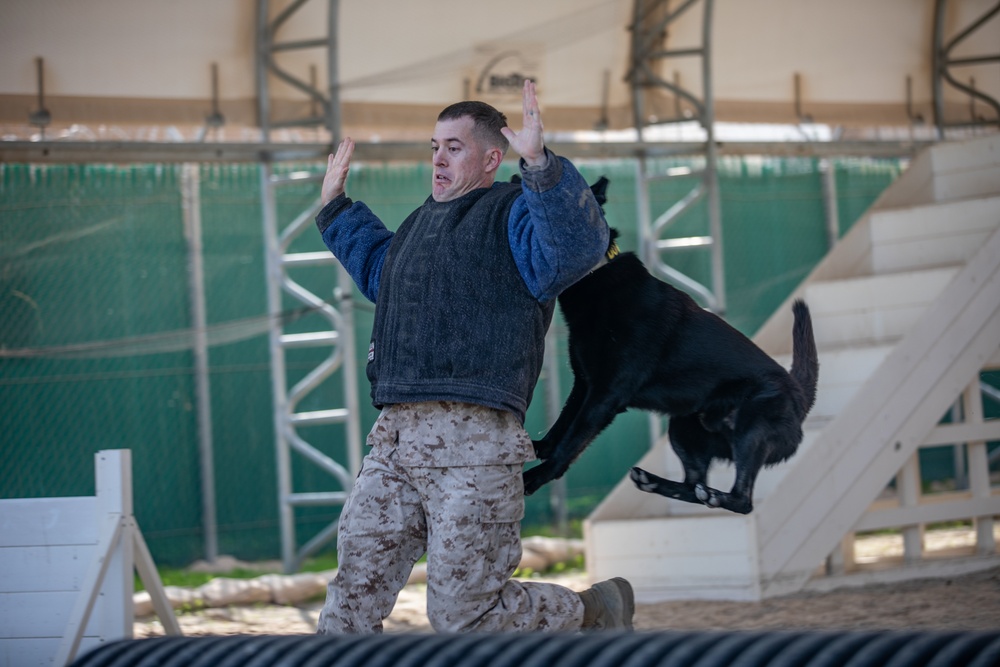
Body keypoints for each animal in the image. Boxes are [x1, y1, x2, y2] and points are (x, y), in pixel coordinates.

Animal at [528, 179, 816, 516]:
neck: (595, 277)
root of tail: (801, 398)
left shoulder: (604, 395)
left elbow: (572, 439)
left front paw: (537, 475)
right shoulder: (584, 384)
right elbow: (562, 423)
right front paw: (540, 448)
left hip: (750, 427)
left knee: (742, 500)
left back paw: (717, 496)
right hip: (684, 426)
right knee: (693, 485)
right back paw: (658, 483)